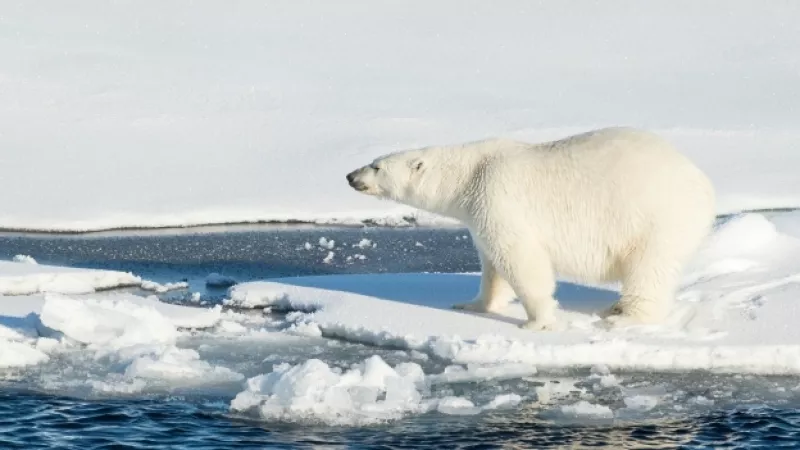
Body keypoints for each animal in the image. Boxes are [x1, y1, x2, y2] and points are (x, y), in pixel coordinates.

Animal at [345, 127, 716, 331]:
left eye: (376, 166)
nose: (350, 175)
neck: (469, 173)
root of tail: (703, 183)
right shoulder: (479, 210)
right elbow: (492, 266)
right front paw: (471, 305)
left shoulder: (497, 195)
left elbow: (521, 259)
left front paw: (537, 321)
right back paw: (614, 307)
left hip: (657, 219)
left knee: (649, 268)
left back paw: (625, 318)